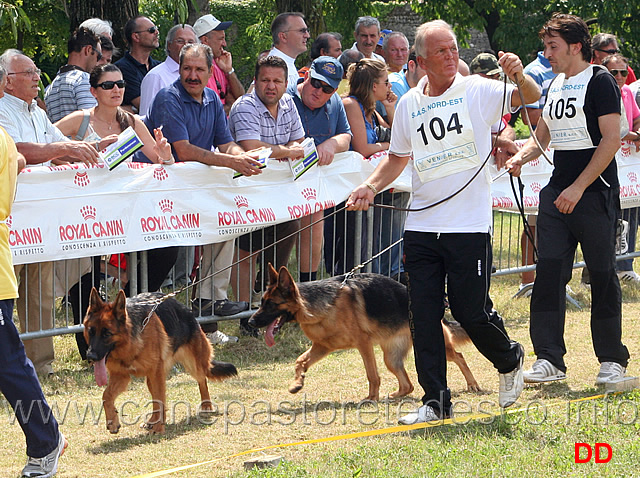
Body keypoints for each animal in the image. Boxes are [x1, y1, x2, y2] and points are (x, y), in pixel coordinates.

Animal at [82, 286, 238, 436]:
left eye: (107, 334)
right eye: (91, 331)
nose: (90, 356)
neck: (132, 340)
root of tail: (187, 310)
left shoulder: (155, 373)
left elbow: (160, 399)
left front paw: (158, 428)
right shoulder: (121, 376)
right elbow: (106, 395)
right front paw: (112, 422)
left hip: (193, 365)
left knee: (202, 380)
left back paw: (206, 406)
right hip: (152, 378)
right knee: (156, 398)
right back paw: (152, 420)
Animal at [248, 264, 478, 402]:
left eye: (271, 304)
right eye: (261, 302)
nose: (250, 321)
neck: (322, 306)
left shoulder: (363, 344)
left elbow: (372, 374)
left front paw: (371, 398)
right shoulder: (322, 347)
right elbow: (300, 361)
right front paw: (297, 383)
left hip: (434, 345)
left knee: (459, 356)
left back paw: (472, 384)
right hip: (391, 357)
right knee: (408, 385)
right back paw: (395, 395)